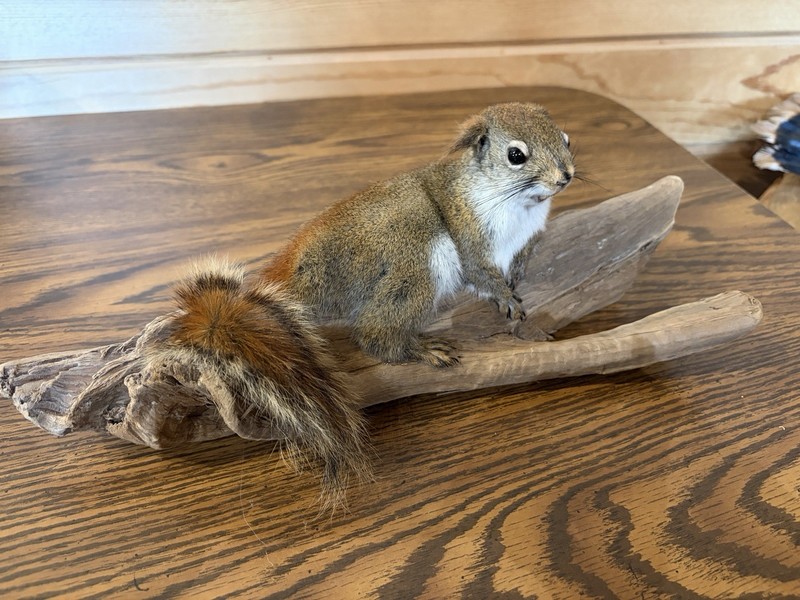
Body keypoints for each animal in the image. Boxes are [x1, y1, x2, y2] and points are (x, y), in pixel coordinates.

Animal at [153, 102, 575, 506]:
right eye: (516, 155)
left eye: (567, 139)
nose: (565, 176)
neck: (518, 204)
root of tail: (298, 272)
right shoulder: (469, 234)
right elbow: (481, 273)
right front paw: (506, 298)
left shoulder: (525, 240)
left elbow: (520, 259)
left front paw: (517, 279)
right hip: (415, 266)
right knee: (374, 337)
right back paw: (420, 349)